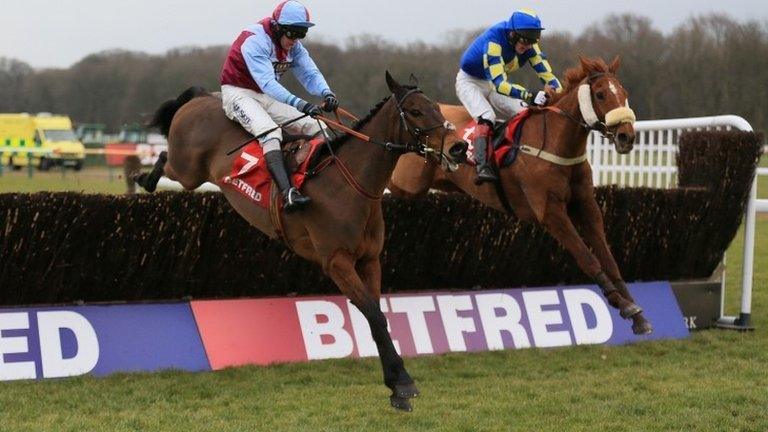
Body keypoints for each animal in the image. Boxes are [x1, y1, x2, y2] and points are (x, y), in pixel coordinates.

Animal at [138, 71, 468, 412]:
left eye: (437, 108)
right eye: (415, 111)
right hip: (188, 170)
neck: (348, 184)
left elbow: (378, 315)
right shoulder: (336, 261)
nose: (459, 147)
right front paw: (402, 383)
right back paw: (144, 178)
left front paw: (396, 383)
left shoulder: (369, 259)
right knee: (164, 157)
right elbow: (373, 315)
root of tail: (203, 97)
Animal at [390, 56, 656, 334]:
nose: (626, 137)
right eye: (601, 94)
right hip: (405, 183)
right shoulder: (550, 213)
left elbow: (608, 258)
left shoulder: (587, 205)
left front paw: (637, 314)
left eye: (624, 93)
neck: (556, 144)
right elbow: (587, 258)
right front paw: (623, 305)